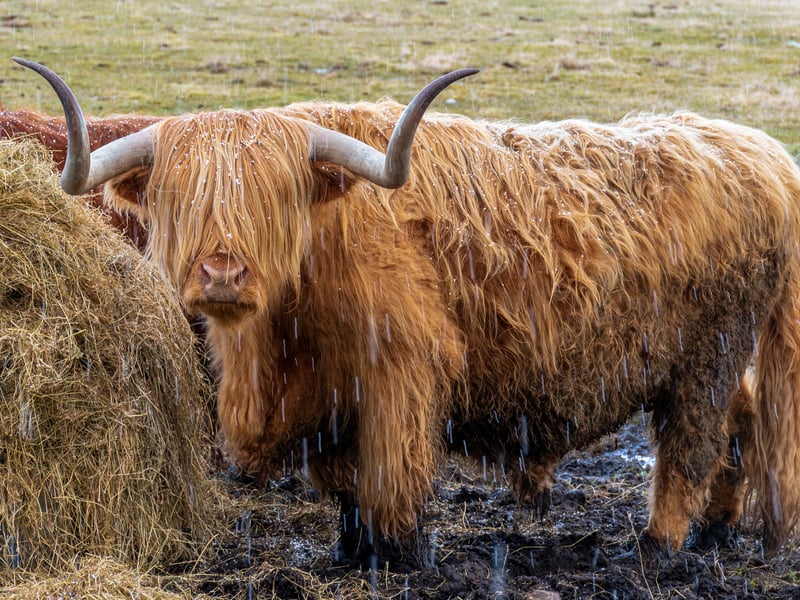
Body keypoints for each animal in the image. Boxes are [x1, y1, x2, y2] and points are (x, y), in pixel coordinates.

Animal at [16, 56, 800, 569]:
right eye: (181, 194)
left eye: (276, 197)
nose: (222, 274)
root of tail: (761, 152)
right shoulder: (328, 398)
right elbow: (341, 481)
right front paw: (347, 548)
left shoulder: (400, 370)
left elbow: (391, 478)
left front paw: (400, 555)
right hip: (711, 362)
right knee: (742, 426)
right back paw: (715, 536)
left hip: (708, 355)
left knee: (691, 447)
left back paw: (660, 548)